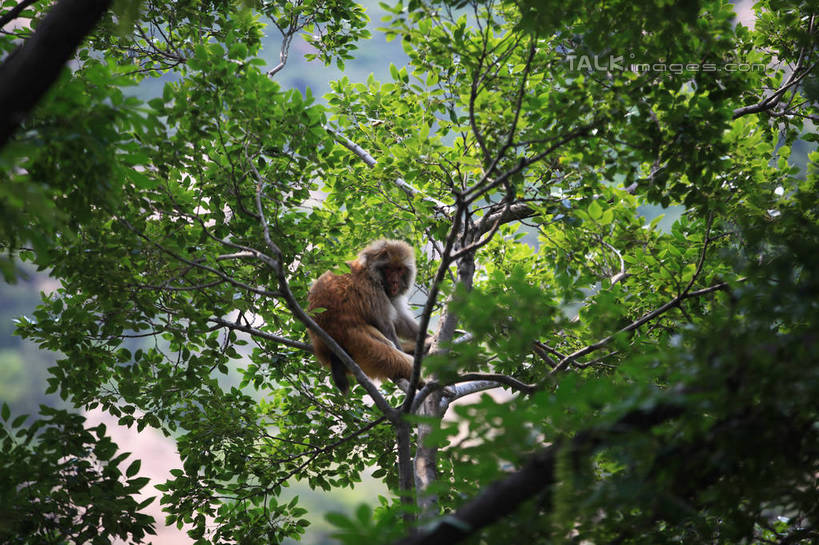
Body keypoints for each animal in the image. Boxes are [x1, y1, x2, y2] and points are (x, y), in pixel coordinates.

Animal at [308, 240, 430, 394]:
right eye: (389, 269)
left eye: (399, 269)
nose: (395, 282)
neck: (371, 273)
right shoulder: (373, 289)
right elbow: (386, 326)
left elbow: (400, 320)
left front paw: (429, 338)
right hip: (358, 340)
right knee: (389, 353)